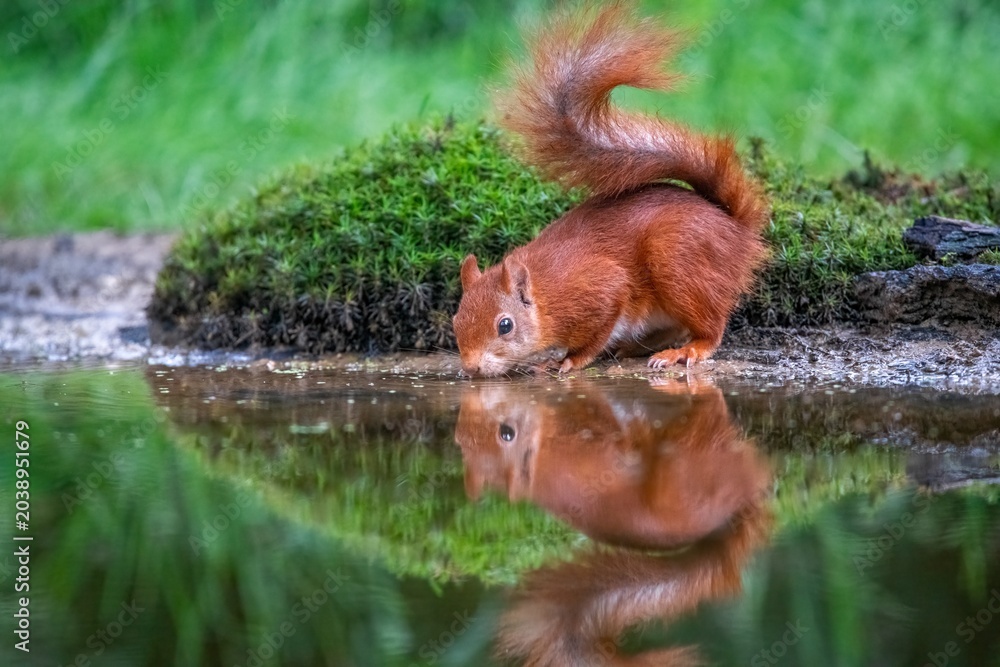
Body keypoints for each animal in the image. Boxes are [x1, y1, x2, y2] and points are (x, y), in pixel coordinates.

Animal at [452, 1, 770, 377]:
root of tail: (736, 229)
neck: (545, 294)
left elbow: (596, 335)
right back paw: (636, 347)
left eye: (505, 325)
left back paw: (685, 350)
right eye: (456, 319)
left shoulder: (602, 290)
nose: (471, 368)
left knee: (710, 328)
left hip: (677, 260)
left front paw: (567, 360)